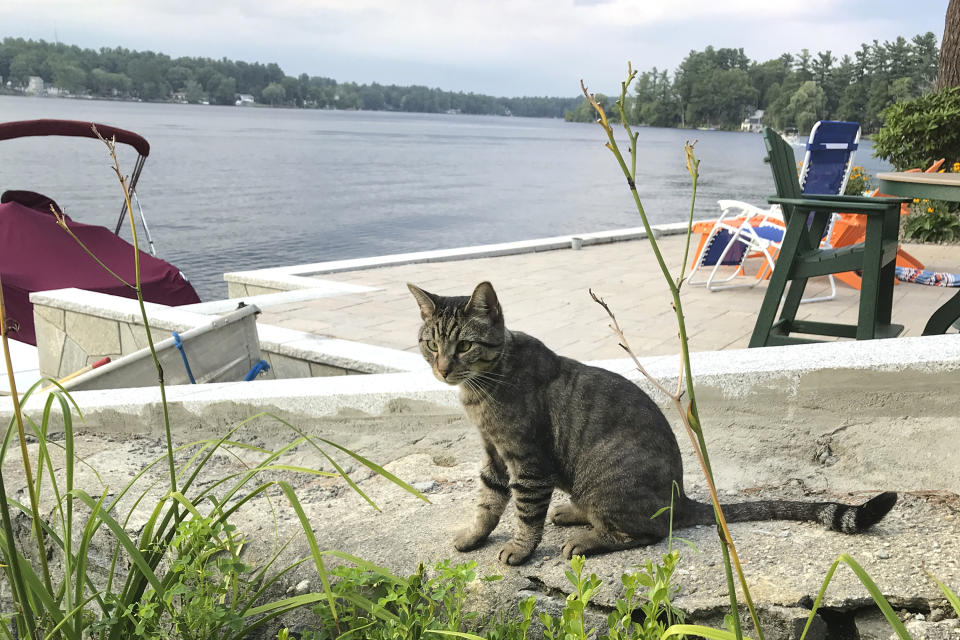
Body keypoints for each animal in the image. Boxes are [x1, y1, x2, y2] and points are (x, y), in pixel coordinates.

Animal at [406, 280, 900, 564]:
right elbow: (487, 503)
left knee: (643, 532)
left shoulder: (528, 462)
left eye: (464, 346)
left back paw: (588, 538)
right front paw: (473, 536)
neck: (482, 388)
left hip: (605, 477)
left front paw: (521, 549)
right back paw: (573, 513)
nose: (443, 368)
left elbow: (525, 513)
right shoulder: (493, 456)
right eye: (431, 344)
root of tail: (682, 498)